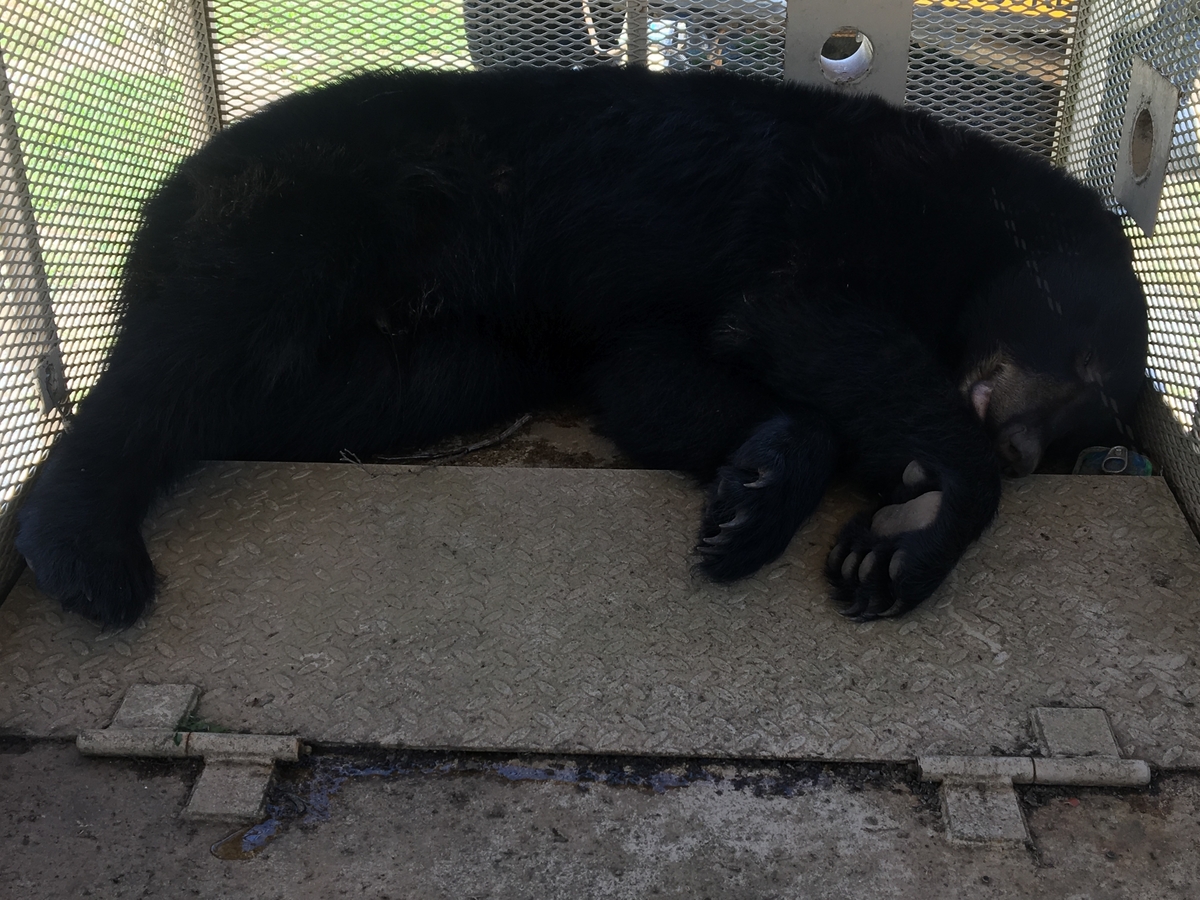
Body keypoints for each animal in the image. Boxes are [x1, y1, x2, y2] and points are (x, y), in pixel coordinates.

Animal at [14, 66, 1148, 628]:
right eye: (1086, 367)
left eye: (1092, 419)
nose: (1023, 453)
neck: (967, 222)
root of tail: (164, 183)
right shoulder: (829, 214)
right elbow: (799, 316)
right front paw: (920, 517)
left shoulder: (630, 326)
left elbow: (654, 380)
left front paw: (762, 487)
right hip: (294, 218)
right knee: (178, 364)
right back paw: (79, 543)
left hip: (450, 360)